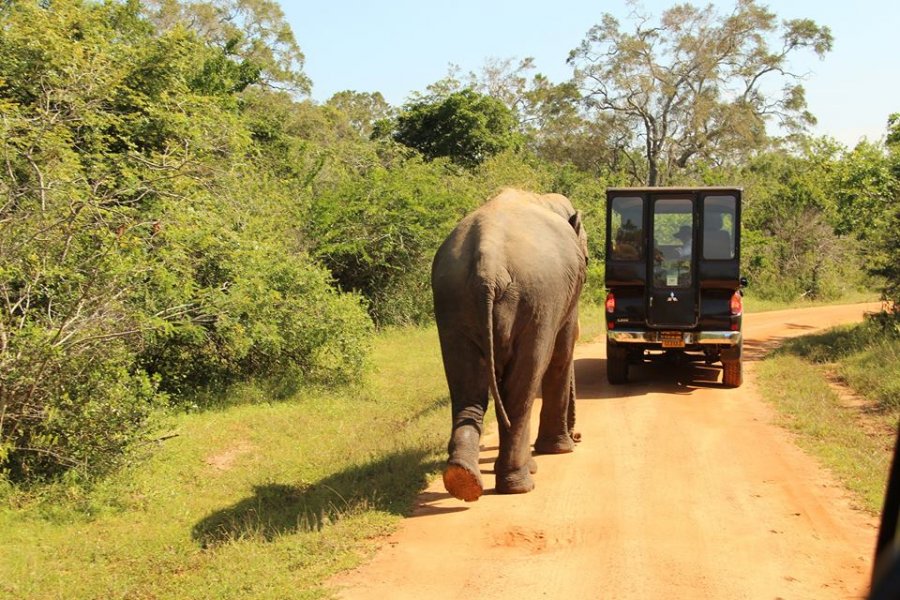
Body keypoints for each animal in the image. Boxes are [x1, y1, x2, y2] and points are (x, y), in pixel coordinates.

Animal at [431, 188, 588, 501]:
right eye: (588, 261)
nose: (578, 437)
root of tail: (488, 263)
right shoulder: (562, 297)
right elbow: (562, 352)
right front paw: (560, 450)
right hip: (535, 299)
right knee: (523, 389)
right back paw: (519, 484)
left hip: (451, 299)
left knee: (467, 388)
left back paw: (463, 479)